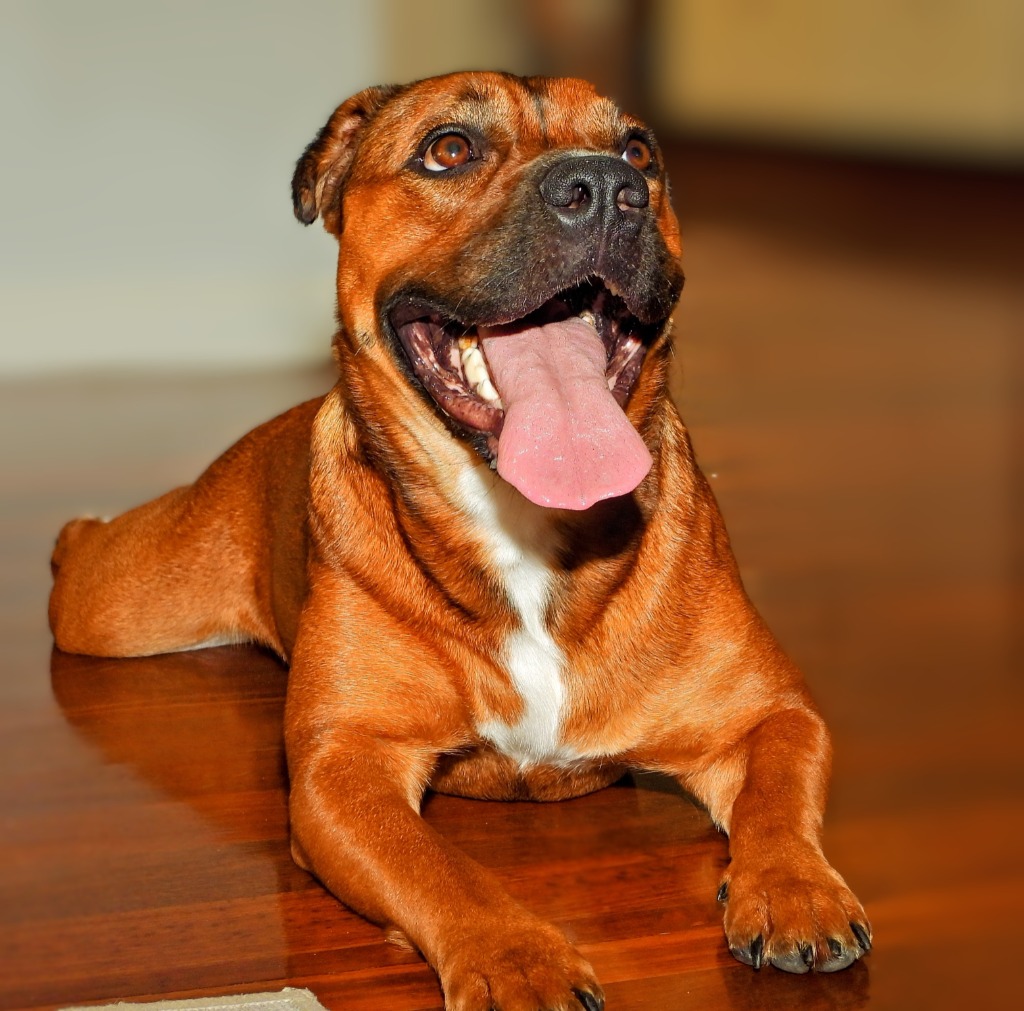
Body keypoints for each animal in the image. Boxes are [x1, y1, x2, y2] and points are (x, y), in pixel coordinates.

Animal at [49, 72, 870, 1010]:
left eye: (638, 152)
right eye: (448, 149)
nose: (606, 188)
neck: (525, 529)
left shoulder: (772, 714)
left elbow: (778, 795)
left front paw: (794, 888)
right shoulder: (344, 767)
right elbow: (438, 867)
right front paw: (518, 958)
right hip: (120, 605)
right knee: (84, 552)